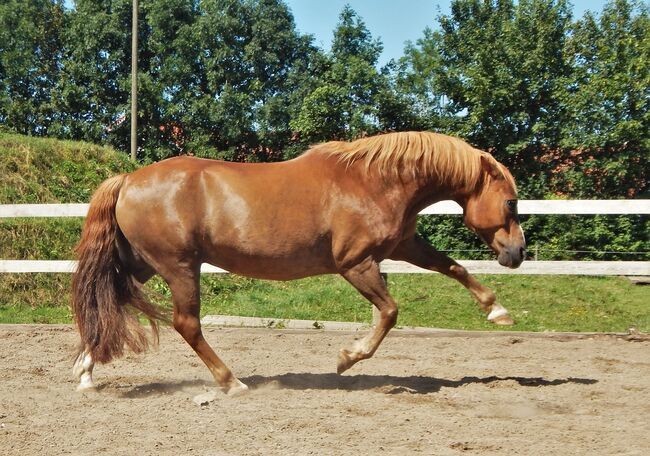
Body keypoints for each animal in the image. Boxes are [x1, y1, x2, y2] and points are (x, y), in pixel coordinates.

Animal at [72, 130, 528, 394]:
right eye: (510, 201)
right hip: (180, 267)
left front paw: (498, 311)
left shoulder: (402, 247)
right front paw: (347, 358)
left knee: (108, 303)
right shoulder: (356, 263)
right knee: (186, 324)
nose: (518, 253)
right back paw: (232, 382)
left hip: (146, 264)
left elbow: (454, 268)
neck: (373, 181)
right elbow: (389, 313)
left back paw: (86, 374)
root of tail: (127, 180)